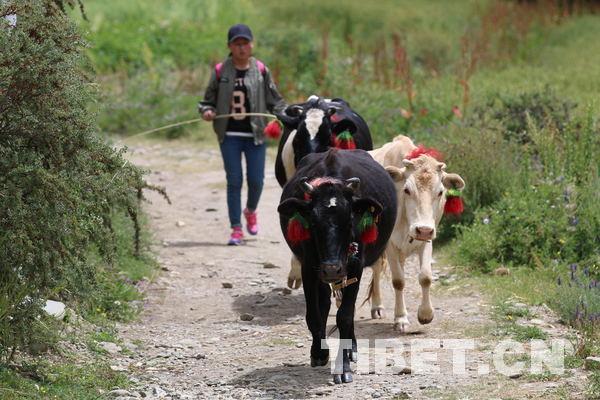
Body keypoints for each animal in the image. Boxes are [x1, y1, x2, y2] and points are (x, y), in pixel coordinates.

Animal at [366, 134, 464, 332]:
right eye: (407, 189)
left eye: (440, 191)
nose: (423, 229)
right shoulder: (389, 244)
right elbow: (398, 281)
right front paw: (401, 318)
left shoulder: (427, 240)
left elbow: (425, 277)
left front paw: (425, 314)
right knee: (376, 268)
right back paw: (376, 306)